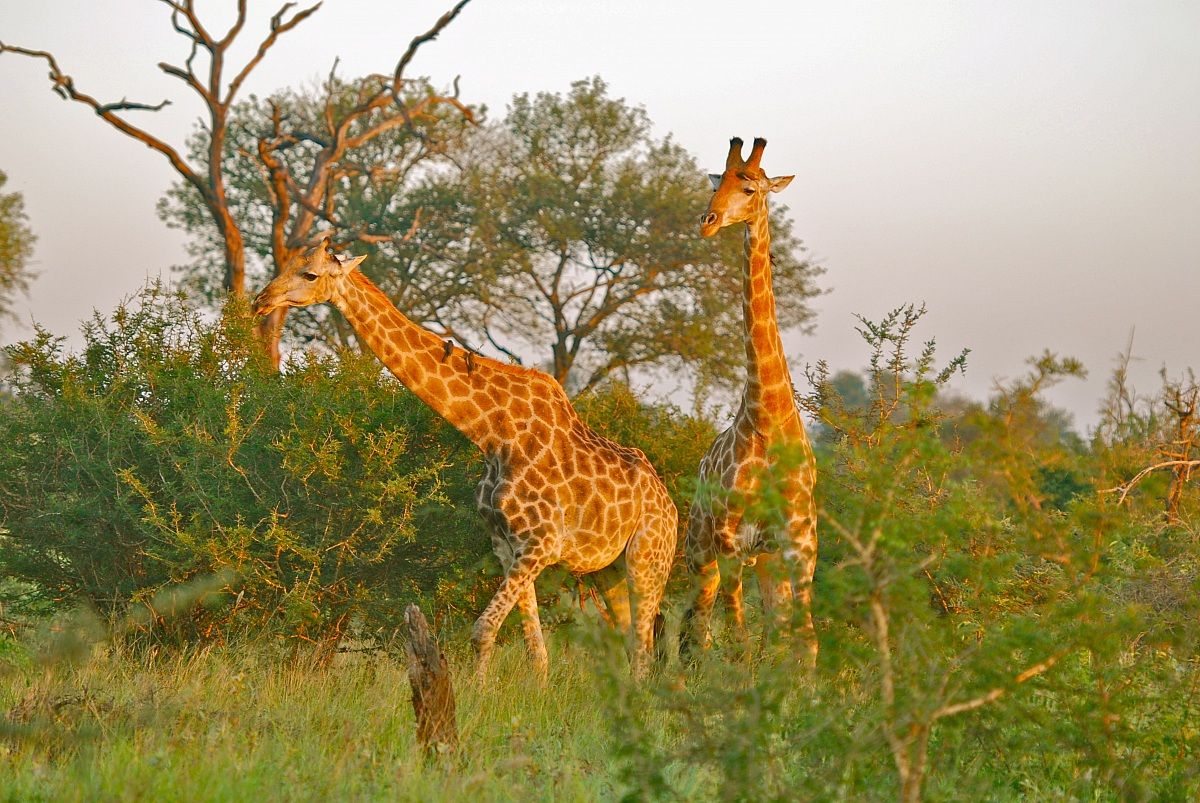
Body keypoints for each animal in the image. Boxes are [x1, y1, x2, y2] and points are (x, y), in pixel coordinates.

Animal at [252, 236, 677, 679]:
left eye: (310, 274)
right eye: (288, 264)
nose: (260, 301)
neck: (492, 433)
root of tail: (671, 506)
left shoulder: (540, 544)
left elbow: (482, 629)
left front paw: (475, 692)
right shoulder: (507, 545)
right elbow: (534, 650)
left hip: (648, 561)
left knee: (644, 647)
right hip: (608, 570)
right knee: (630, 642)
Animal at [680, 137, 818, 665]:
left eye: (750, 187)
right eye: (716, 181)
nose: (708, 220)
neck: (768, 415)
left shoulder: (799, 546)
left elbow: (803, 640)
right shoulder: (731, 539)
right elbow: (739, 639)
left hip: (766, 561)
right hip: (701, 549)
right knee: (697, 625)